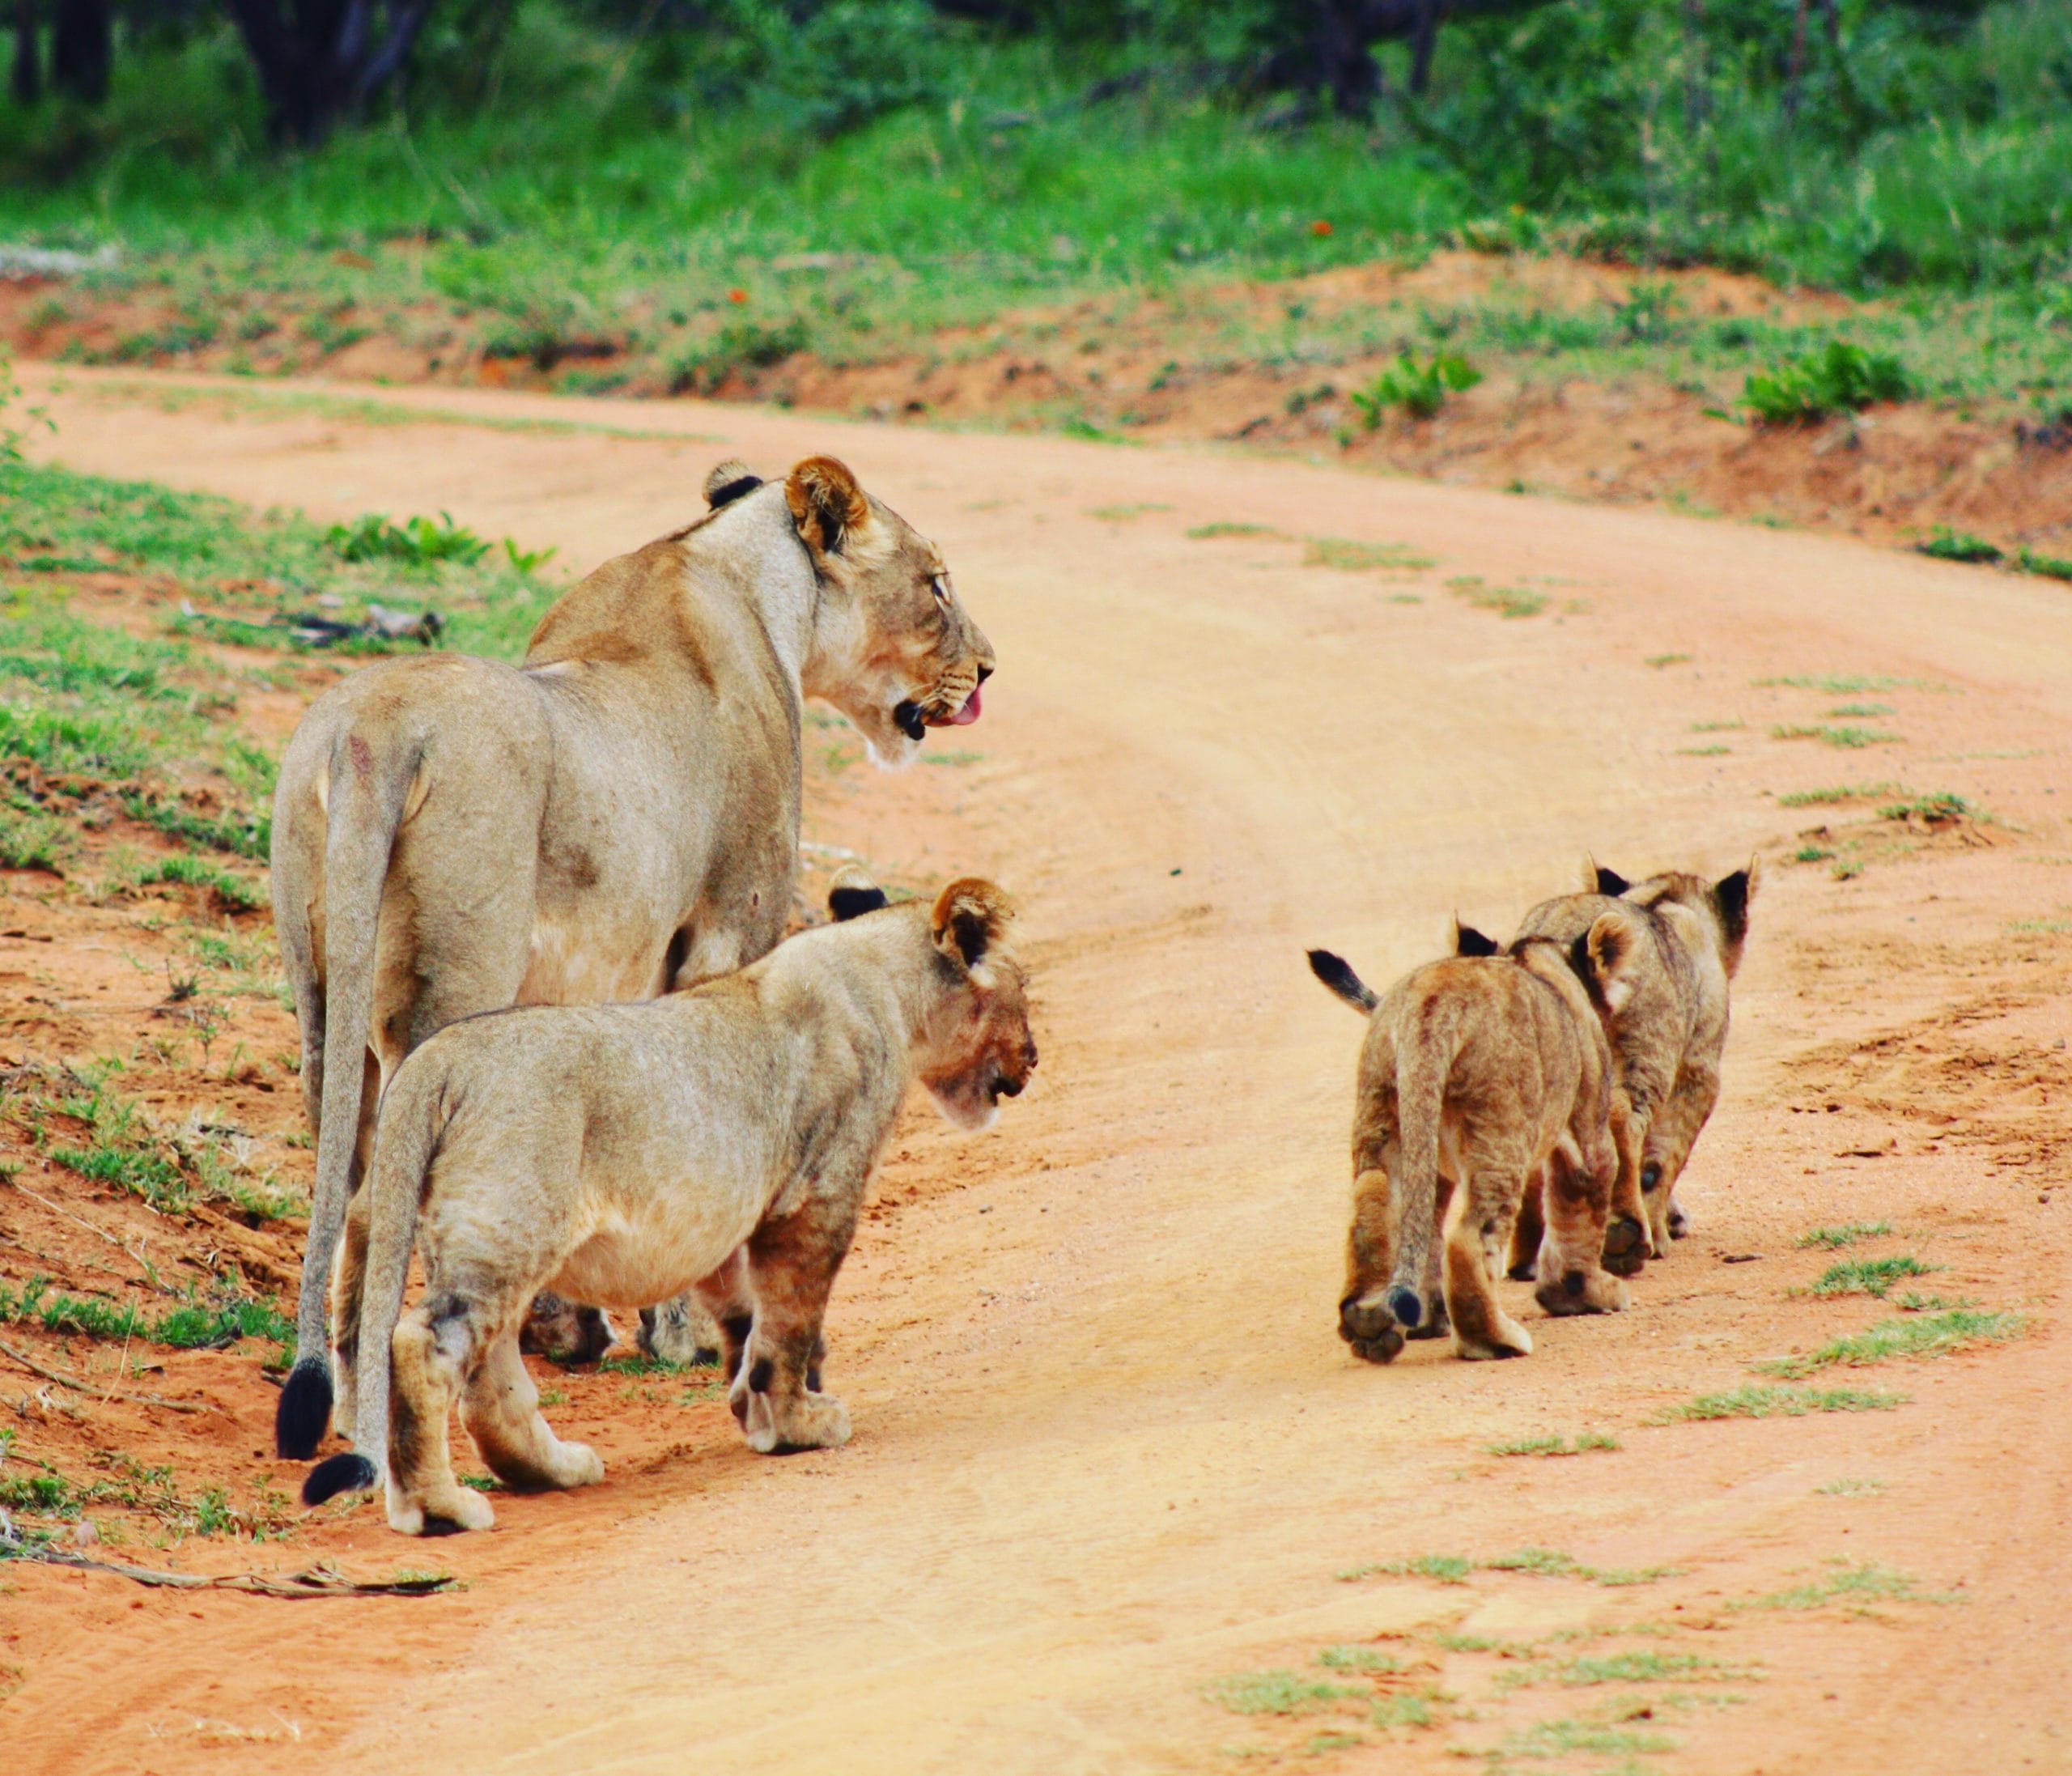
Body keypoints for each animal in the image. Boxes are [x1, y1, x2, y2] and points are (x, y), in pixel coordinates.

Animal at [271, 456, 995, 1460]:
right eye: (936, 584)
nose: (989, 669)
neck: (741, 579)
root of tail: (373, 732)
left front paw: (577, 1328)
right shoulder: (729, 928)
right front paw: (680, 1335)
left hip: (321, 997)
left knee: (344, 1187)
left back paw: (350, 1403)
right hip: (454, 986)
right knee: (395, 1203)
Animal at [300, 870, 1036, 1536]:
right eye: (1024, 989)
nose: (1032, 1061)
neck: (883, 984)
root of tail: (435, 1060)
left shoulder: (722, 1215)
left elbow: (744, 1320)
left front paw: (756, 1414)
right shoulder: (815, 1196)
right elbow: (790, 1321)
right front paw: (801, 1421)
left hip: (488, 1239)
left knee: (490, 1377)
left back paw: (552, 1470)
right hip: (507, 1230)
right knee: (423, 1347)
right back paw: (439, 1509)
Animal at [1308, 916, 1642, 1366]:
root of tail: (1429, 1006)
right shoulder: (1587, 1129)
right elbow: (1582, 1206)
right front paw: (1584, 1294)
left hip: (1386, 1110)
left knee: (1376, 1196)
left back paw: (1371, 1324)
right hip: (1500, 1130)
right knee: (1469, 1237)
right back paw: (1493, 1340)